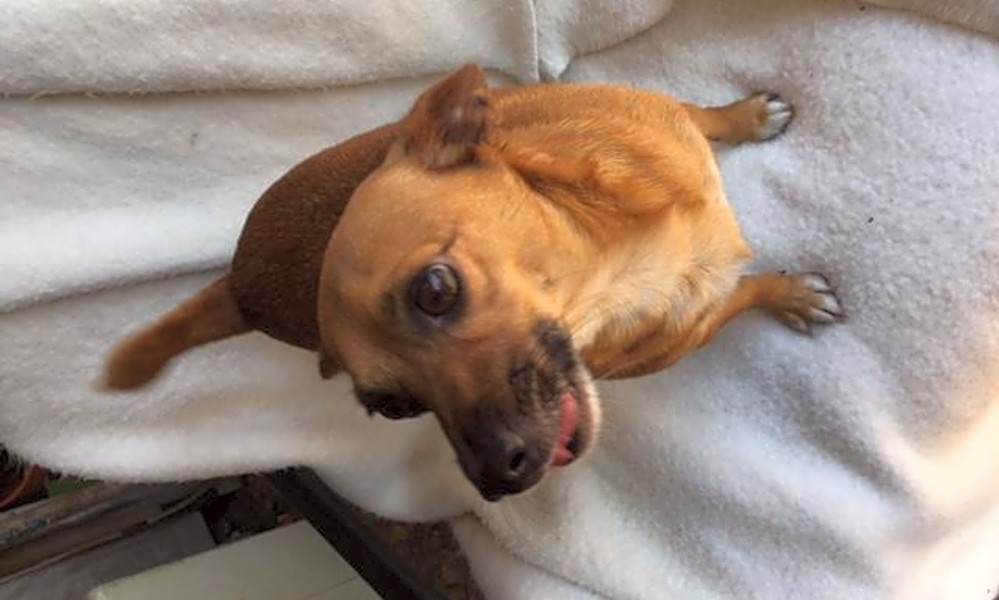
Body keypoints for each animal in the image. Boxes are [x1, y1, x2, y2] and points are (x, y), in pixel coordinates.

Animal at [105, 64, 843, 502]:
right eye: (392, 408)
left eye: (434, 291)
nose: (494, 477)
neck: (621, 269)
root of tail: (238, 281)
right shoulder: (705, 320)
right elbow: (744, 294)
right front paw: (792, 296)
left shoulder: (668, 117)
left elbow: (700, 112)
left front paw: (748, 115)